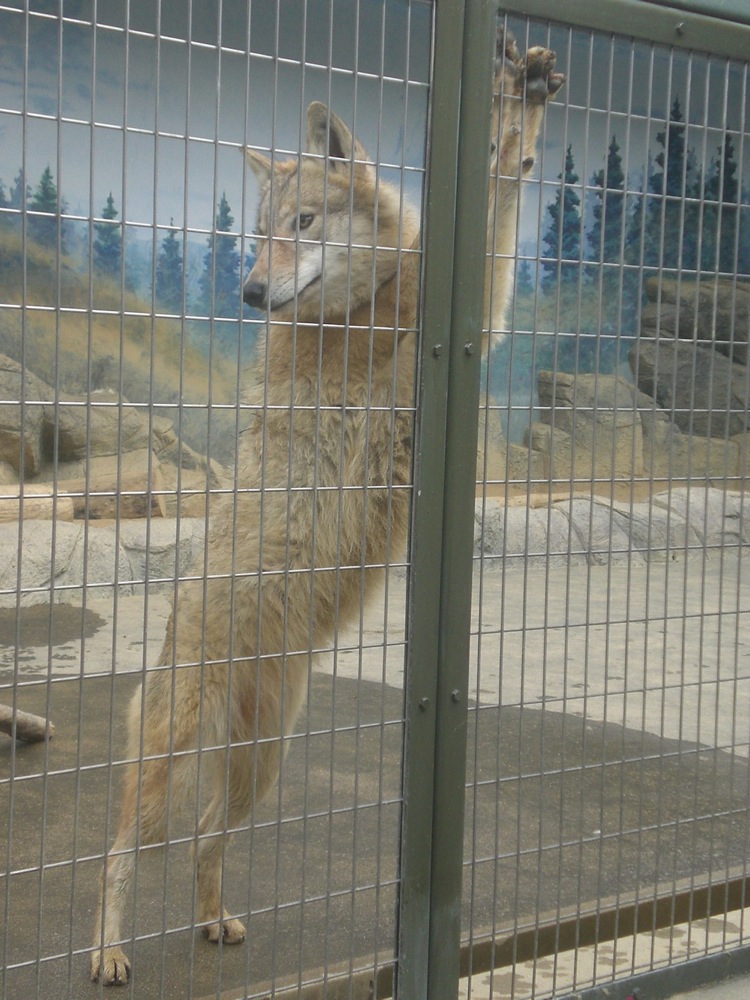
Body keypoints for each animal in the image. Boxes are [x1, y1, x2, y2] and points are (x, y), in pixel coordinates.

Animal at [90, 30, 563, 986]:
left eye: (301, 225)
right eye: (257, 235)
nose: (245, 293)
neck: (370, 306)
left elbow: (507, 178)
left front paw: (523, 96)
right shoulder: (446, 344)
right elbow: (494, 204)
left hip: (259, 769)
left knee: (205, 843)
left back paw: (214, 923)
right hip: (172, 776)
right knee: (118, 857)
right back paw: (111, 953)